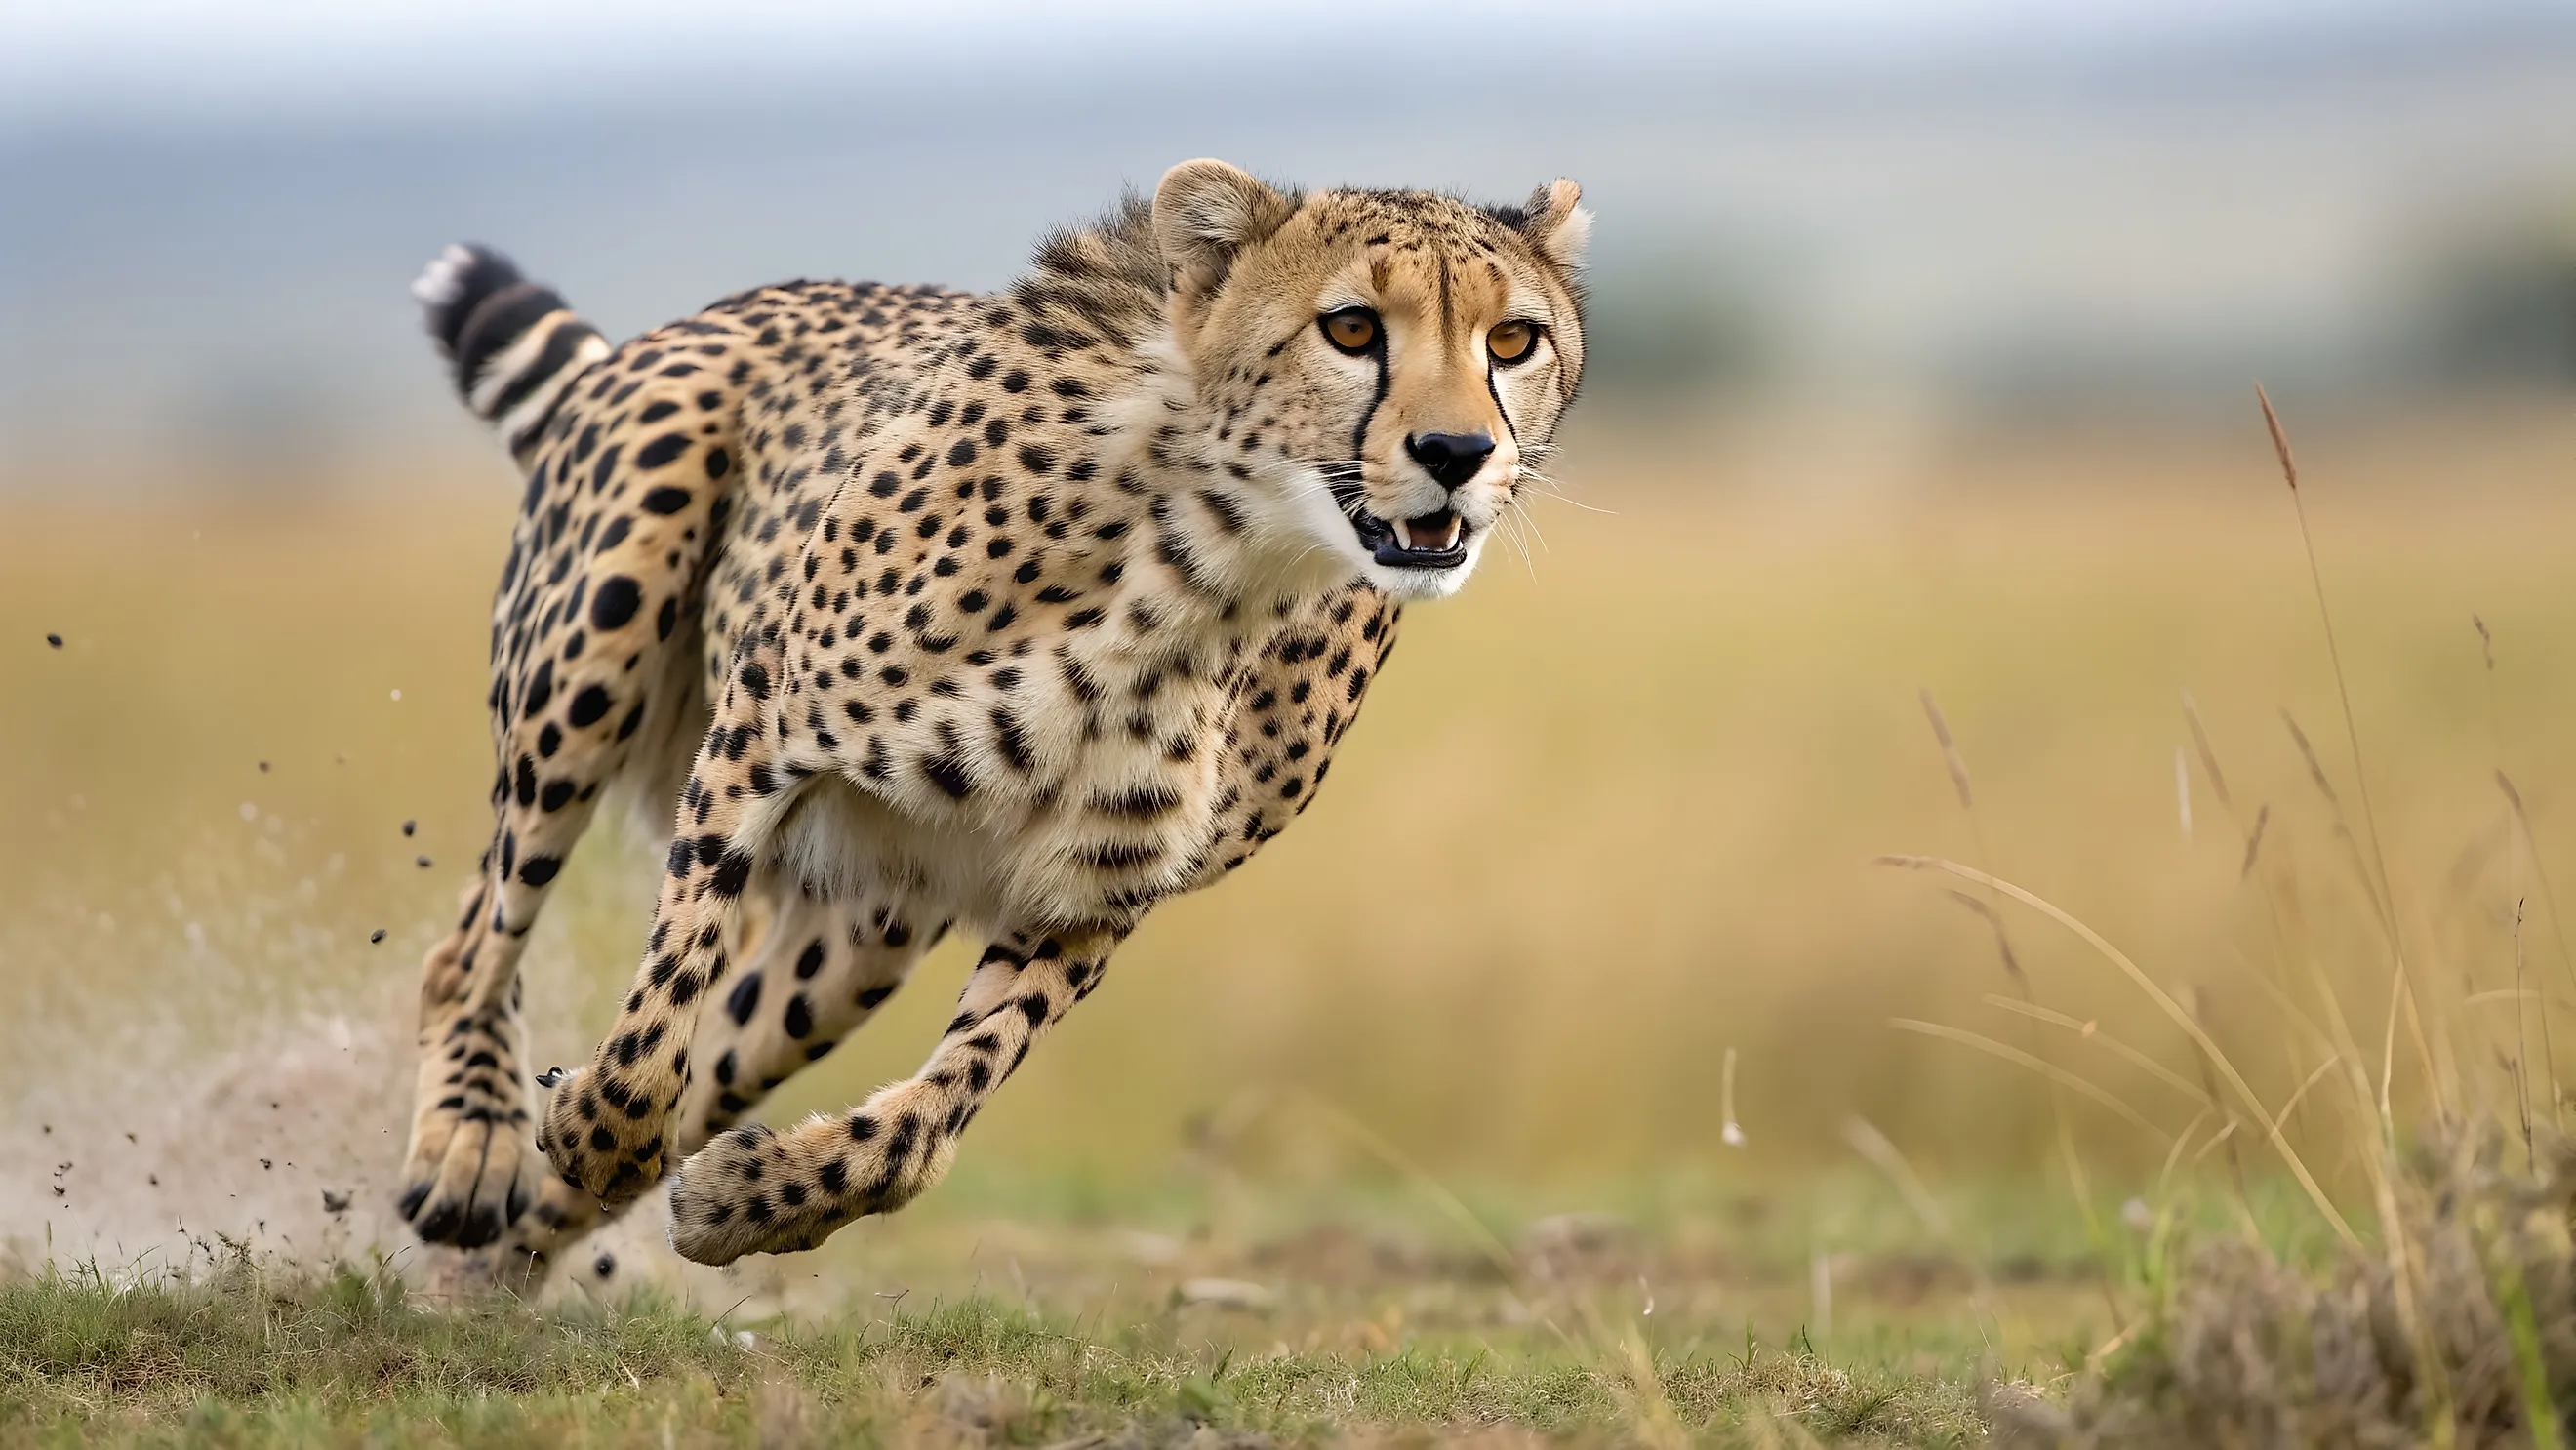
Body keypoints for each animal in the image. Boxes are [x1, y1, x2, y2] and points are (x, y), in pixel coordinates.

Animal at [395, 159, 1591, 1278]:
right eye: (1350, 328)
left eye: (1512, 340)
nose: (1458, 455)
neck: (1212, 567)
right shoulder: (764, 714)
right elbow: (654, 1025)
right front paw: (590, 1130)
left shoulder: (1092, 888)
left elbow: (928, 1119)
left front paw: (750, 1199)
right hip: (595, 647)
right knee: (471, 944)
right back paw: (470, 1156)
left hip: (856, 940)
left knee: (723, 1049)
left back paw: (500, 1269)